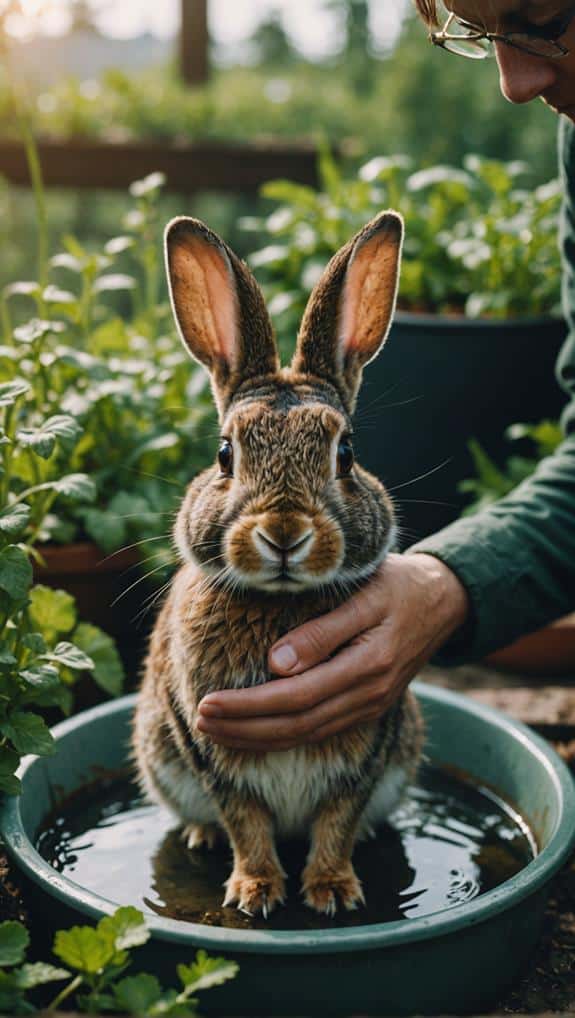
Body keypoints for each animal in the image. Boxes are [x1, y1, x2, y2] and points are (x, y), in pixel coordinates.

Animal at [133, 211, 424, 919]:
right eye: (224, 454)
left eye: (346, 453)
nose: (284, 533)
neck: (282, 603)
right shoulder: (211, 749)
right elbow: (247, 822)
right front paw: (256, 891)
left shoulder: (365, 750)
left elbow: (336, 822)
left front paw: (333, 891)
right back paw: (203, 836)